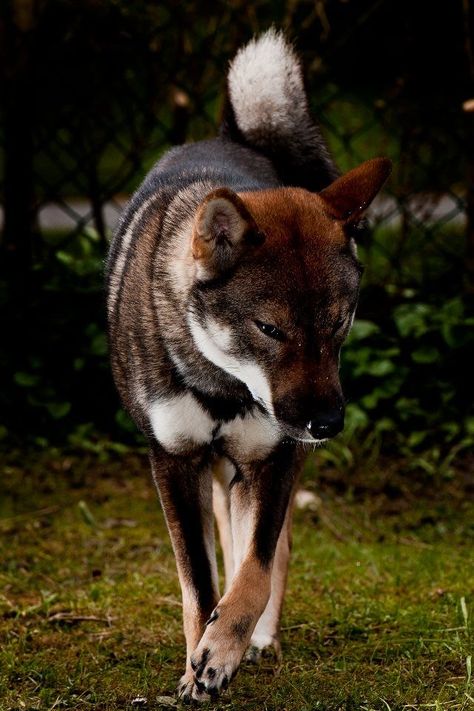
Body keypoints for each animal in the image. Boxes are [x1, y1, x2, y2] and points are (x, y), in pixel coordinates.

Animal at [105, 30, 390, 704]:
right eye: (270, 329)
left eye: (339, 322)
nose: (327, 424)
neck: (222, 382)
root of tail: (231, 134)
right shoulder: (174, 461)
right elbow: (198, 582)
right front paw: (196, 663)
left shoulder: (272, 456)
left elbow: (255, 567)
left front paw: (223, 651)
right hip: (218, 472)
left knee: (266, 547)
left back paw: (257, 640)